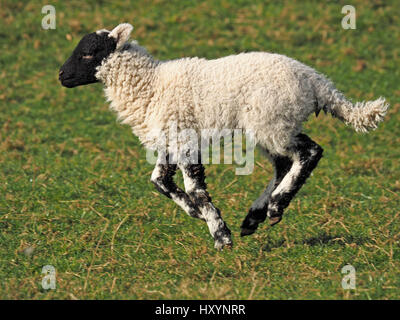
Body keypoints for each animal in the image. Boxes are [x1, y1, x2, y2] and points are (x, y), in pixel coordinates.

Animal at [60, 23, 390, 251]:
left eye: (89, 51)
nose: (61, 75)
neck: (151, 85)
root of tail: (317, 82)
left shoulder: (184, 139)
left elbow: (194, 189)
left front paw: (220, 234)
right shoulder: (170, 142)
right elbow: (160, 182)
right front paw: (196, 213)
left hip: (273, 120)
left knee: (309, 153)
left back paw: (275, 206)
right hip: (270, 126)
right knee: (284, 163)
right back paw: (254, 217)